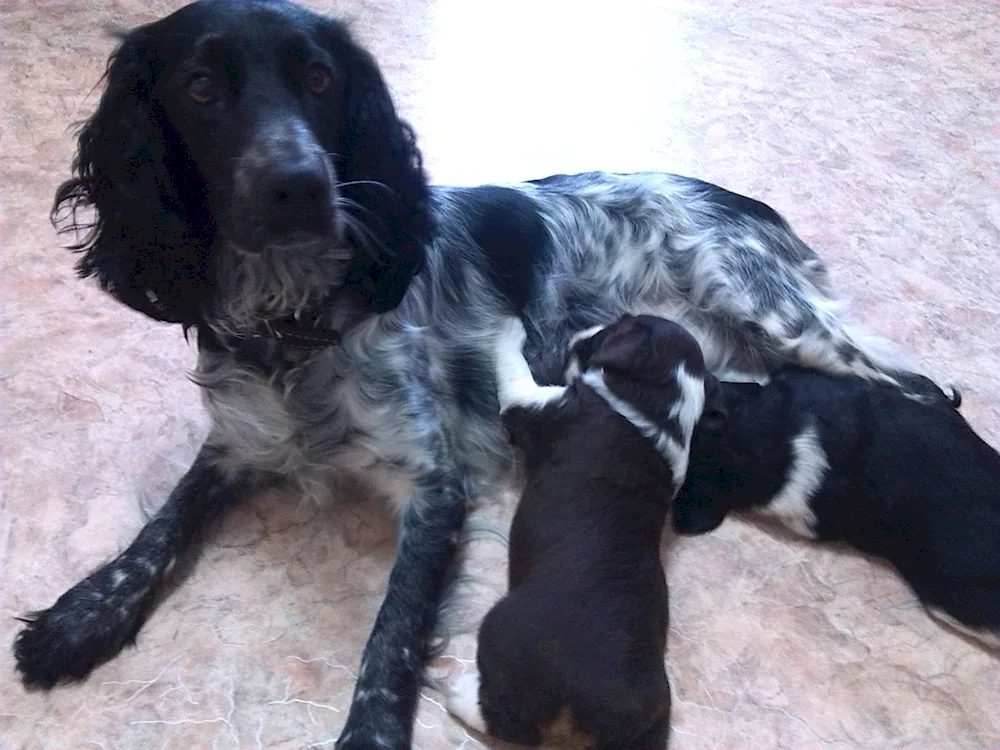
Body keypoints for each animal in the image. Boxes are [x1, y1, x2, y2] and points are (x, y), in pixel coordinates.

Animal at [450, 314, 724, 748]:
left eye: (621, 323)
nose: (577, 332)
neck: (658, 410)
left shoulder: (531, 402)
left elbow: (510, 360)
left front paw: (511, 326)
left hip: (501, 631)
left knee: (515, 725)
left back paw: (460, 695)